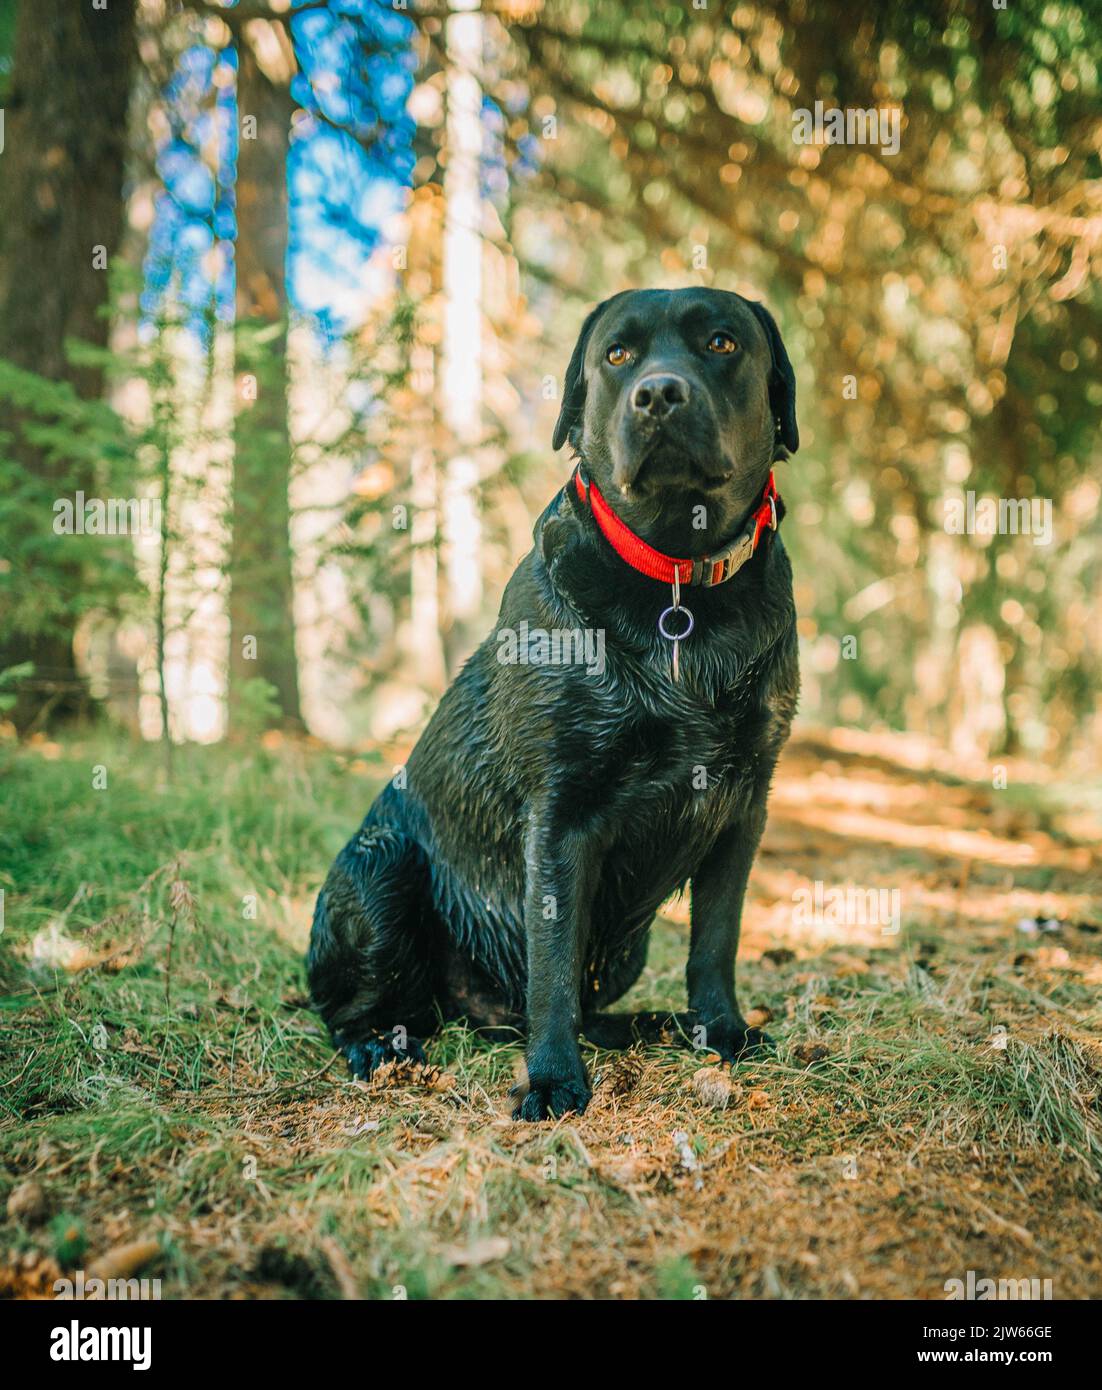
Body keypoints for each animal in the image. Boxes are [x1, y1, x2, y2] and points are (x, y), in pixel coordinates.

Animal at [305, 287, 794, 1123]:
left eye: (723, 343)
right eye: (618, 354)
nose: (659, 393)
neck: (678, 584)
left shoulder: (744, 805)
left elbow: (715, 940)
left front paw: (720, 1031)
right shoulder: (561, 814)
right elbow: (554, 964)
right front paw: (555, 1079)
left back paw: (650, 1024)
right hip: (378, 879)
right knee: (351, 1010)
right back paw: (381, 1046)